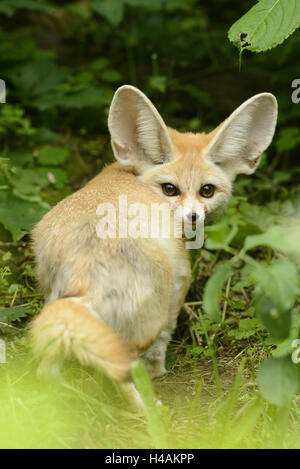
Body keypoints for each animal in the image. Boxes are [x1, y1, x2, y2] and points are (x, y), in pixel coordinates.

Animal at [29, 84, 278, 410]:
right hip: (144, 322)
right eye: (169, 189)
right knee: (123, 370)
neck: (126, 174)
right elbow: (164, 339)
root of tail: (86, 272)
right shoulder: (180, 279)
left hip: (57, 308)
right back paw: (148, 411)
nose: (193, 217)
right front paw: (159, 371)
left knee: (47, 368)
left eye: (207, 191)